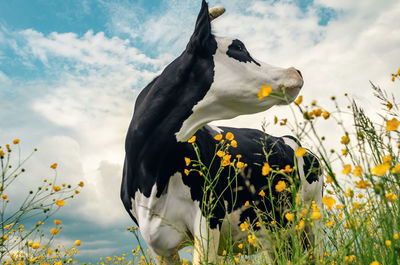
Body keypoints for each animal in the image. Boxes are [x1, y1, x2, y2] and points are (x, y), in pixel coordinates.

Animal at [121, 1, 322, 262]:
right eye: (238, 47)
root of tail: (291, 140)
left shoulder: (208, 218)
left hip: (314, 216)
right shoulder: (158, 243)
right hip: (277, 233)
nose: (296, 71)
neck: (151, 173)